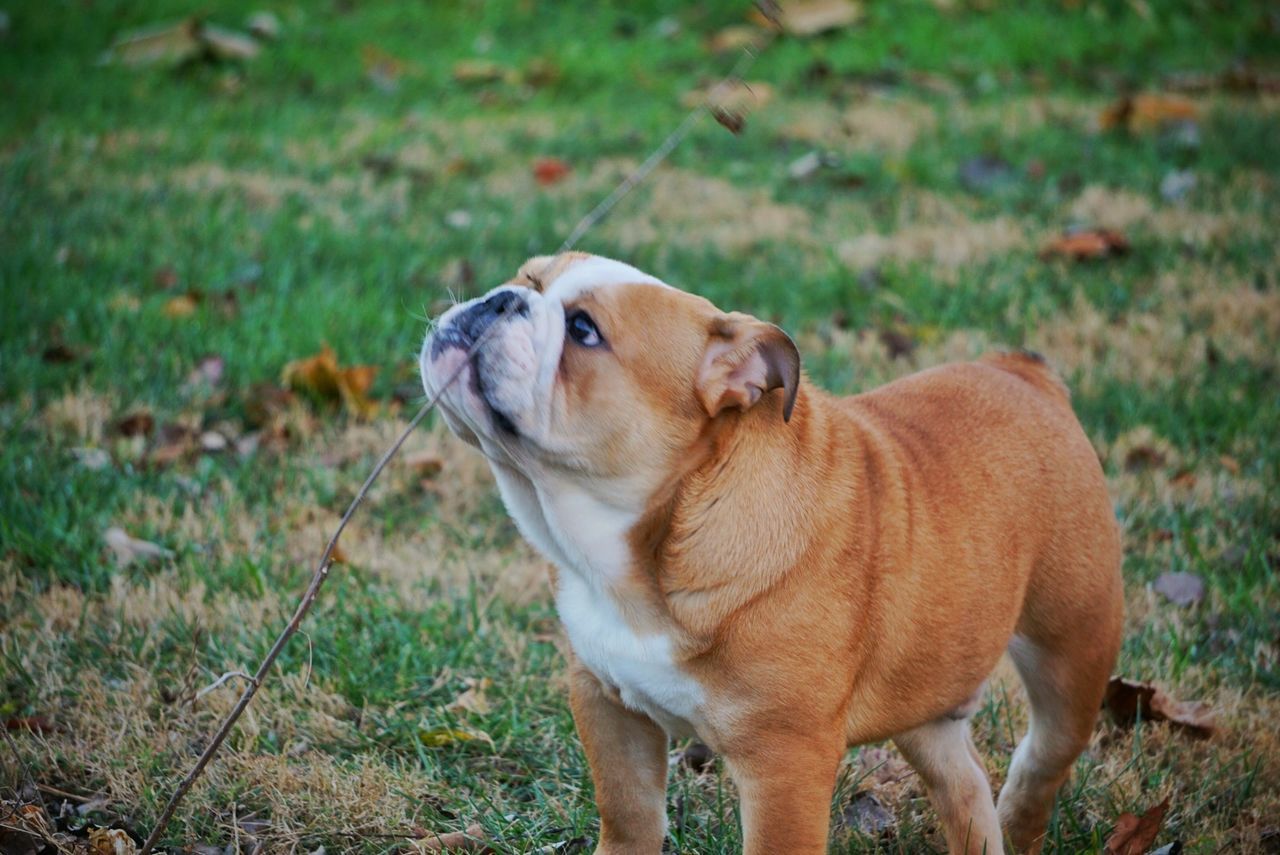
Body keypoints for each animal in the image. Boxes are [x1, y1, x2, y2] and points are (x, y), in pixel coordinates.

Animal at [417, 253, 1121, 855]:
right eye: (525, 279)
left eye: (584, 331)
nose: (501, 299)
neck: (646, 547)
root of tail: (1022, 370)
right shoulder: (607, 705)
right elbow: (628, 817)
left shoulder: (784, 761)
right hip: (928, 690)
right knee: (961, 779)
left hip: (1070, 650)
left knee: (1042, 760)